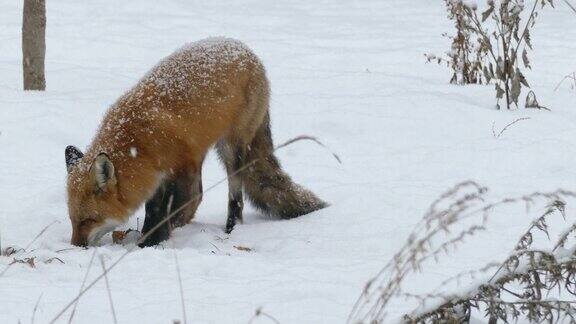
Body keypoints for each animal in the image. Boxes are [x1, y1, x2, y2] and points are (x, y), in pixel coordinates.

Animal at [65, 37, 326, 246]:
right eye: (73, 220)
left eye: (88, 220)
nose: (76, 247)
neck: (139, 142)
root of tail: (247, 51)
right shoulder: (157, 176)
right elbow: (154, 208)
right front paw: (151, 233)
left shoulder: (183, 168)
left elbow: (181, 205)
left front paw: (153, 239)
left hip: (231, 150)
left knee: (235, 198)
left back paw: (230, 229)